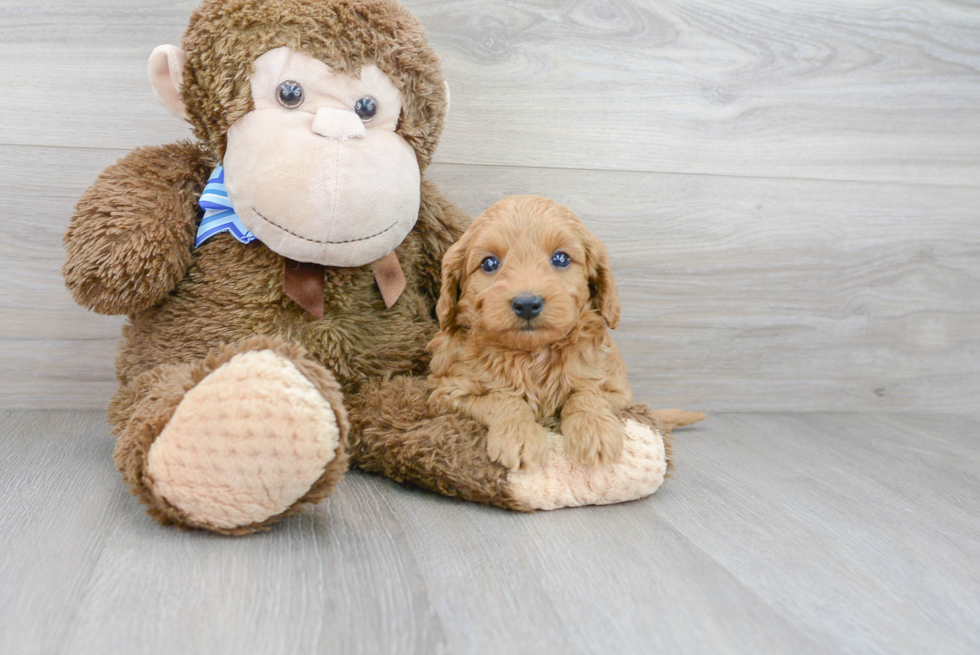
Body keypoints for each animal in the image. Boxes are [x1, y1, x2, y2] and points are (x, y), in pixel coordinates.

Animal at [426, 195, 628, 472]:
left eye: (561, 259)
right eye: (489, 263)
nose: (527, 304)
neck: (532, 354)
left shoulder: (618, 389)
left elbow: (588, 394)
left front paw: (593, 429)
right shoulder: (448, 391)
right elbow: (502, 398)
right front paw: (519, 435)